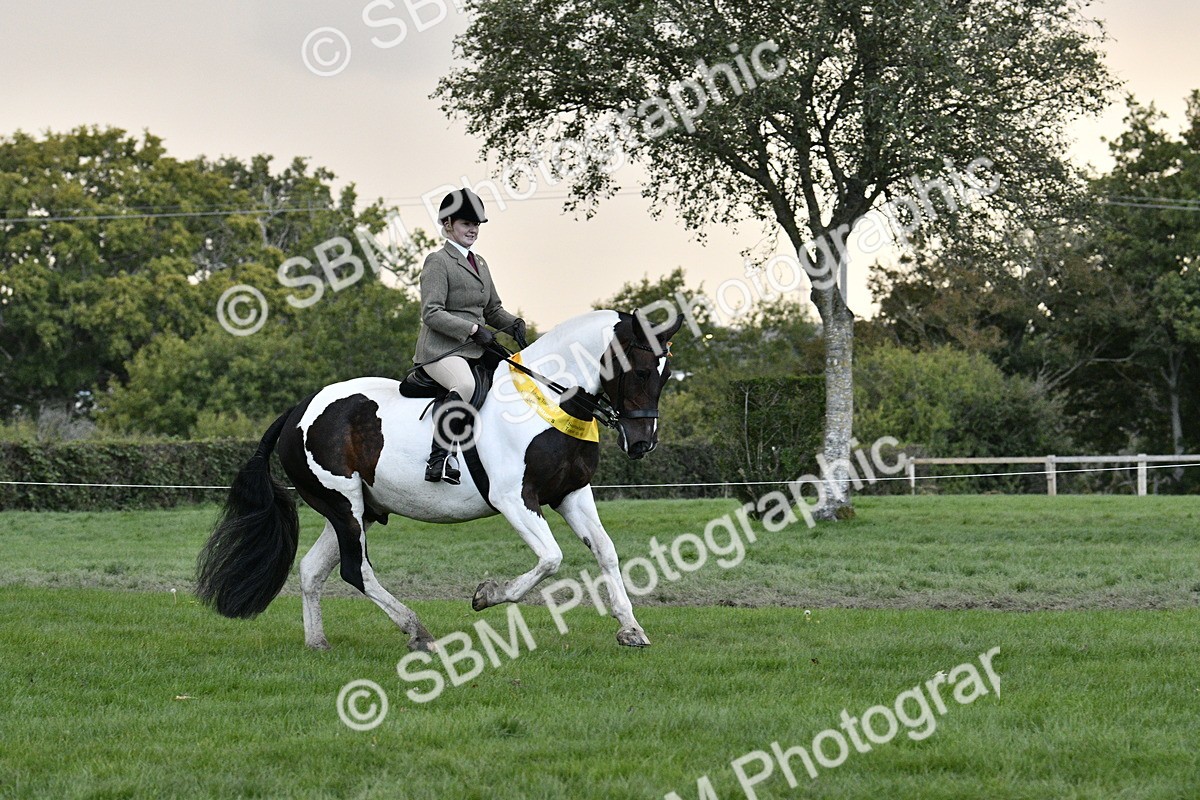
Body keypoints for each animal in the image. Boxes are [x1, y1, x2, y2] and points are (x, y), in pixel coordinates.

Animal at [195, 310, 684, 651]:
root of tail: (297, 411)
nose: (642, 444)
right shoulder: (513, 499)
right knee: (356, 570)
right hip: (342, 504)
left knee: (315, 569)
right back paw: (418, 632)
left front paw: (631, 628)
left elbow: (605, 551)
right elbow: (551, 558)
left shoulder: (570, 493)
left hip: (359, 509)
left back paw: (318, 642)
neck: (546, 398)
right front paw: (487, 594)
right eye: (642, 371)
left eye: (664, 375)